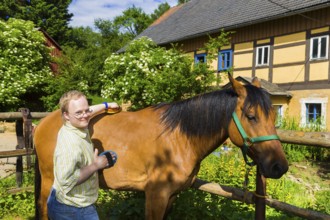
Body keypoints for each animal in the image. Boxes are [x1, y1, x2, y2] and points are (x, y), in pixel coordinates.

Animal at [32, 75, 288, 219]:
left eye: (273, 115)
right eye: (251, 116)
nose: (279, 167)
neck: (179, 138)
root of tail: (42, 123)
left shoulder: (172, 195)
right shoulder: (156, 194)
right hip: (50, 180)